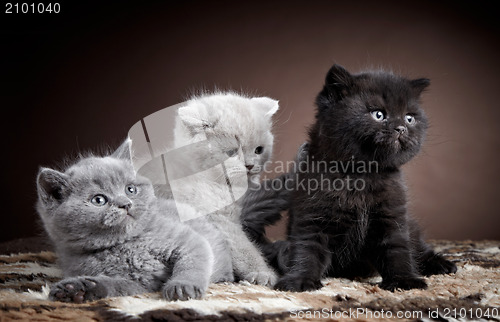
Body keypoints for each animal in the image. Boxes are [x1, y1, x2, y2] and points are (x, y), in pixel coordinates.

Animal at [36, 140, 232, 304]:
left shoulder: (188, 240)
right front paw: (76, 290)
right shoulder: (138, 282)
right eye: (99, 200)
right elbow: (114, 285)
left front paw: (182, 286)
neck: (125, 244)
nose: (126, 204)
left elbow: (193, 262)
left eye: (130, 189)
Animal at [262, 65, 458, 292]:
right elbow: (306, 249)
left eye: (409, 118)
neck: (361, 175)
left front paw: (404, 280)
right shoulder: (311, 215)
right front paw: (300, 280)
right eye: (378, 114)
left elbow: (397, 248)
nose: (401, 128)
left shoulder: (392, 215)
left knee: (418, 246)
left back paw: (441, 264)